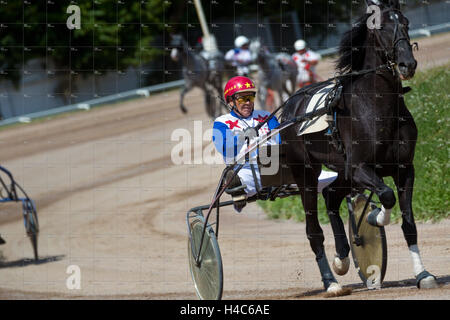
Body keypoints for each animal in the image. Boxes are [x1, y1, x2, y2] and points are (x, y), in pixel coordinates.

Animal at [282, 0, 436, 296]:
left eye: (406, 23)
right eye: (382, 27)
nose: (407, 64)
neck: (376, 105)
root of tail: (289, 107)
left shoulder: (404, 168)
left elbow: (409, 224)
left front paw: (423, 274)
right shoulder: (360, 167)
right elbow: (386, 196)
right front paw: (375, 217)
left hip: (342, 171)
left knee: (330, 195)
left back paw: (341, 258)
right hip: (306, 173)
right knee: (313, 230)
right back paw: (331, 283)